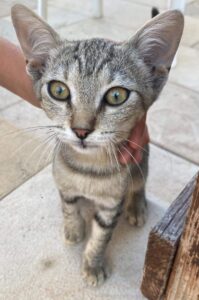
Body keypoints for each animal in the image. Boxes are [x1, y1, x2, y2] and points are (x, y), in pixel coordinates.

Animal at [11, 4, 183, 286]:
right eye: (59, 90)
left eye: (116, 95)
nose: (81, 130)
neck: (88, 169)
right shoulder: (64, 186)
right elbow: (69, 209)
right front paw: (74, 229)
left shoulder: (111, 205)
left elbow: (101, 237)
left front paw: (93, 264)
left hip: (140, 161)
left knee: (140, 182)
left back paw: (137, 205)